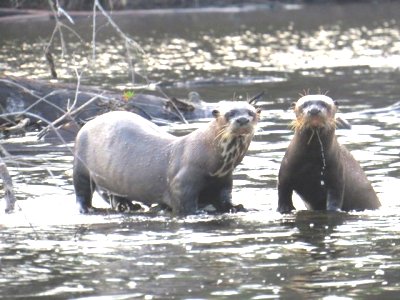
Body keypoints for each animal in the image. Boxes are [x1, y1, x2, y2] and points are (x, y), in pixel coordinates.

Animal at [73, 101, 260, 216]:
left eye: (251, 112)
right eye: (230, 113)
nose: (242, 119)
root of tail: (87, 123)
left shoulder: (224, 181)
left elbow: (224, 198)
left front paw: (236, 207)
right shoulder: (182, 182)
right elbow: (184, 204)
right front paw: (198, 212)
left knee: (116, 195)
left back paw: (128, 206)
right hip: (80, 162)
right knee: (81, 190)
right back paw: (87, 209)